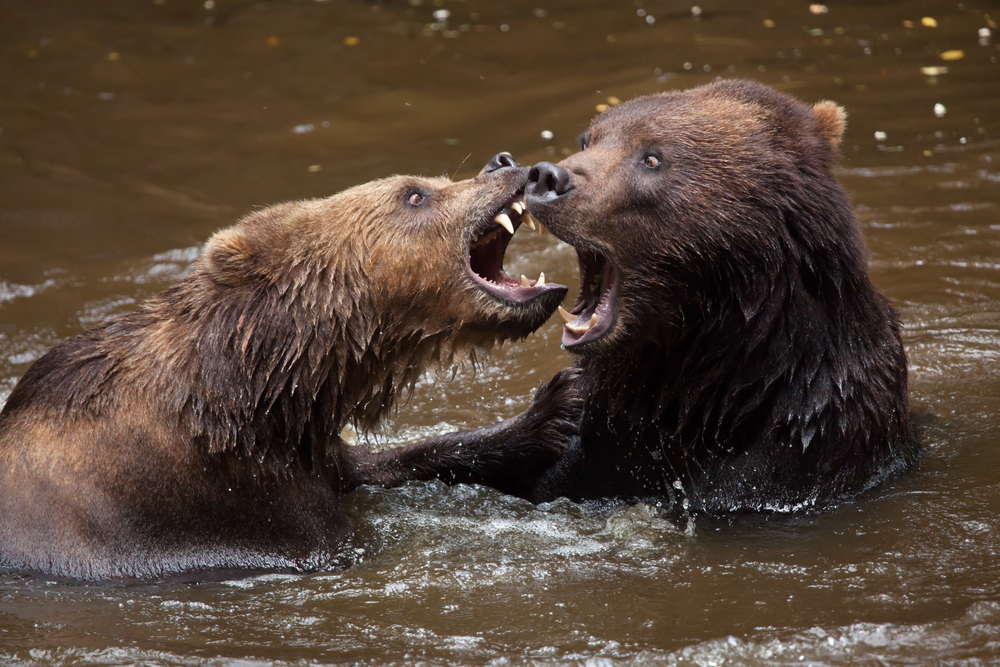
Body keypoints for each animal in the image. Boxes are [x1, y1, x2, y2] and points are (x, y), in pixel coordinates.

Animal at [0, 151, 580, 580]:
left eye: (433, 181)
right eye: (414, 193)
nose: (503, 161)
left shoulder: (309, 448)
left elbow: (385, 462)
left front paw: (555, 411)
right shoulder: (231, 500)